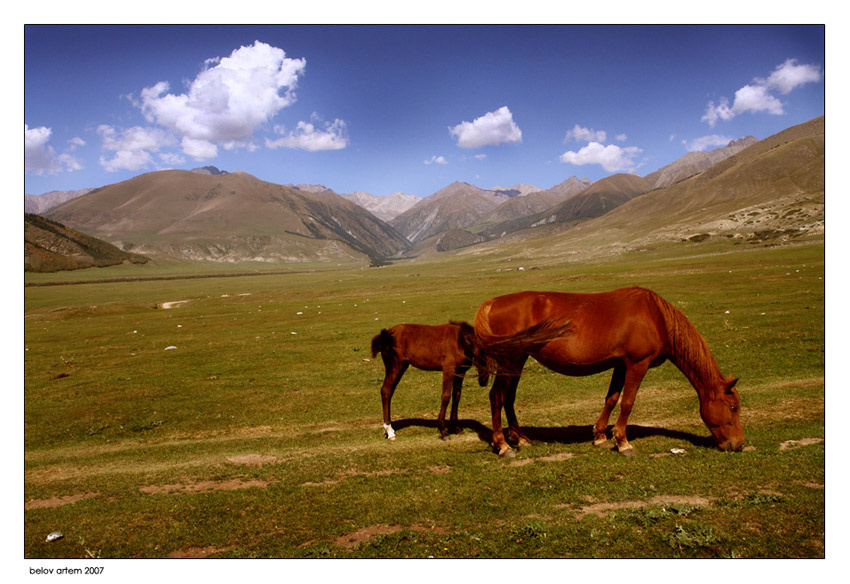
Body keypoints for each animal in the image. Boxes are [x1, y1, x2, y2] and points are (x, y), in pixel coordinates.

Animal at [474, 287, 744, 457]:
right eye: (733, 407)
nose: (738, 444)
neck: (655, 316)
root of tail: (492, 303)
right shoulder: (637, 364)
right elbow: (628, 402)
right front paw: (623, 442)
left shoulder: (620, 364)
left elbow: (612, 399)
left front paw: (601, 436)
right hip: (511, 360)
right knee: (497, 397)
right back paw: (503, 446)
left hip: (517, 361)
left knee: (508, 398)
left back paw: (520, 439)